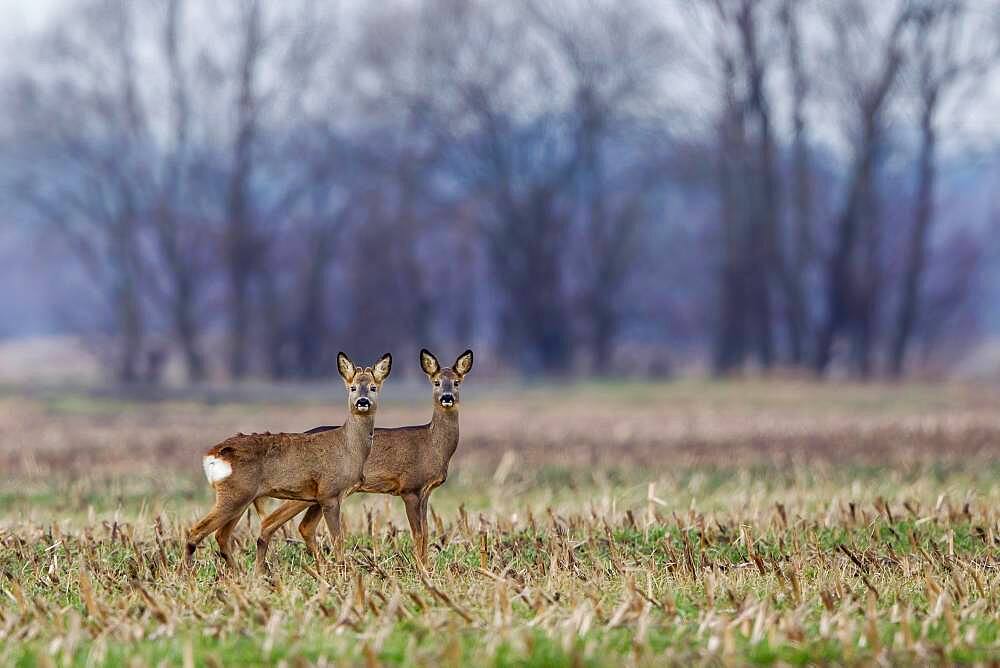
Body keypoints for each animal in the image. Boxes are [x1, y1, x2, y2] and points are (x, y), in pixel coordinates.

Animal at [186, 350, 392, 568]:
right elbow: (337, 540)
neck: (349, 448)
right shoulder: (330, 492)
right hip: (234, 495)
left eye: (373, 387)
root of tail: (212, 455)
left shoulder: (321, 496)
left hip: (241, 498)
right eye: (352, 387)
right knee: (195, 533)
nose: (362, 401)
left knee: (221, 536)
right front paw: (342, 570)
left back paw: (240, 573)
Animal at [258, 348, 476, 568]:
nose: (447, 397)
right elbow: (418, 534)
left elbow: (425, 533)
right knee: (274, 521)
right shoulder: (410, 487)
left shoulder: (425, 491)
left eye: (457, 382)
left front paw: (427, 568)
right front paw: (421, 569)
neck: (433, 446)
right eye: (437, 382)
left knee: (302, 526)